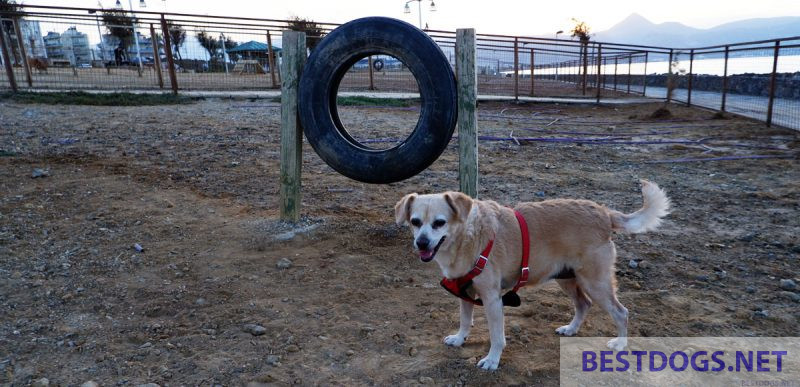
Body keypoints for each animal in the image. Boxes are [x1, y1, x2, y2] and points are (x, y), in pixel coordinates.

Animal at [394, 180, 668, 372]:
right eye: (415, 221)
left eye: (439, 223)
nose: (421, 243)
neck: (466, 236)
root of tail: (603, 213)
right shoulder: (466, 292)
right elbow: (464, 320)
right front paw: (460, 339)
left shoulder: (492, 299)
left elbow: (496, 336)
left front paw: (492, 360)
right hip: (567, 279)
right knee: (583, 304)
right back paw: (571, 329)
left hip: (595, 282)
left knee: (621, 312)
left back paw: (620, 344)